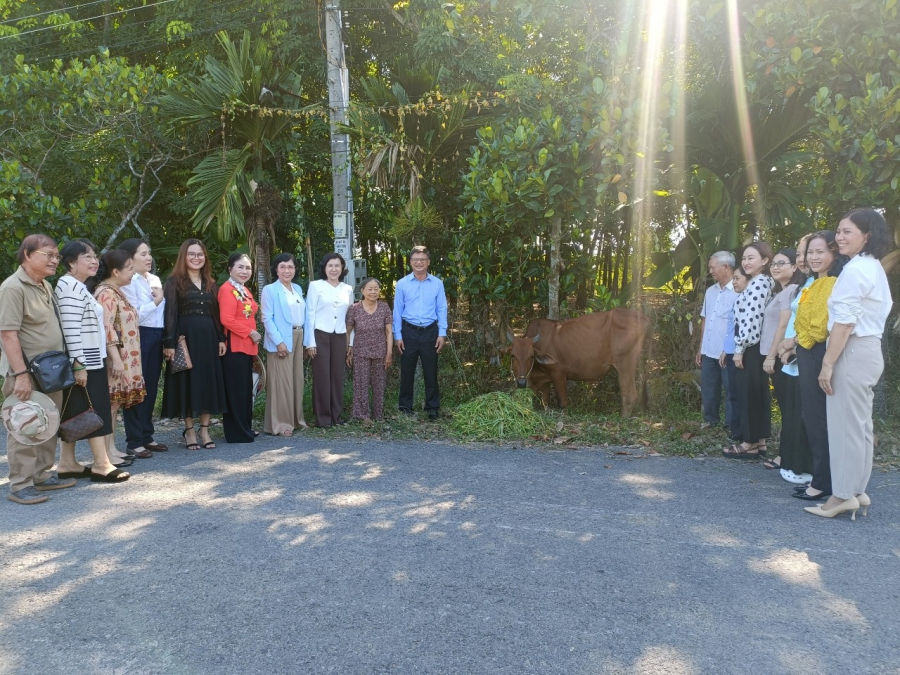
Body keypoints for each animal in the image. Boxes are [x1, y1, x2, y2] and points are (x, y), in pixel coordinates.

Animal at [502, 312, 652, 418]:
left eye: (531, 356)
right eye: (513, 355)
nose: (521, 382)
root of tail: (644, 318)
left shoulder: (558, 373)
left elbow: (562, 402)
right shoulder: (545, 381)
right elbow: (545, 402)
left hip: (625, 364)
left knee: (629, 395)